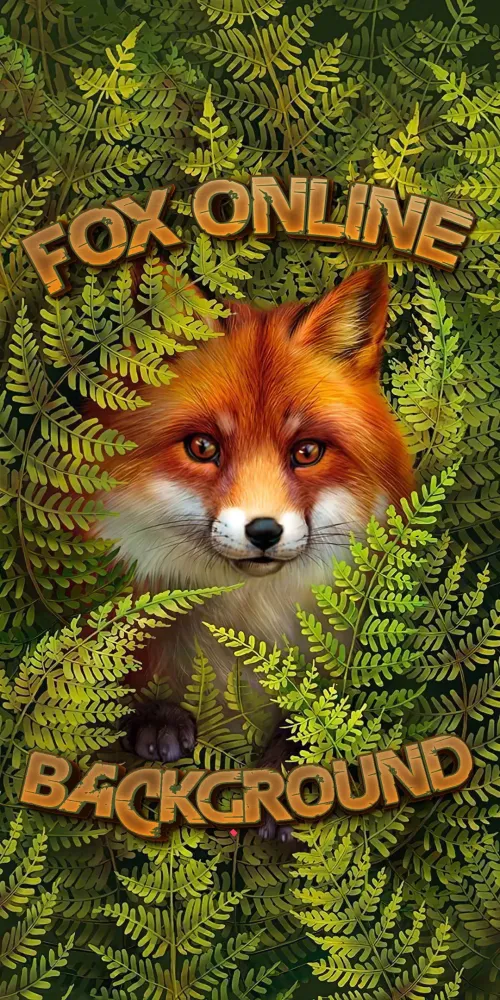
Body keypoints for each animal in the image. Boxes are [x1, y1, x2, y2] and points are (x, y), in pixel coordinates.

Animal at [88, 263, 414, 830]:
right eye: (203, 447)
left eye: (307, 451)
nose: (264, 532)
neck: (247, 620)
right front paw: (157, 718)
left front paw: (292, 779)